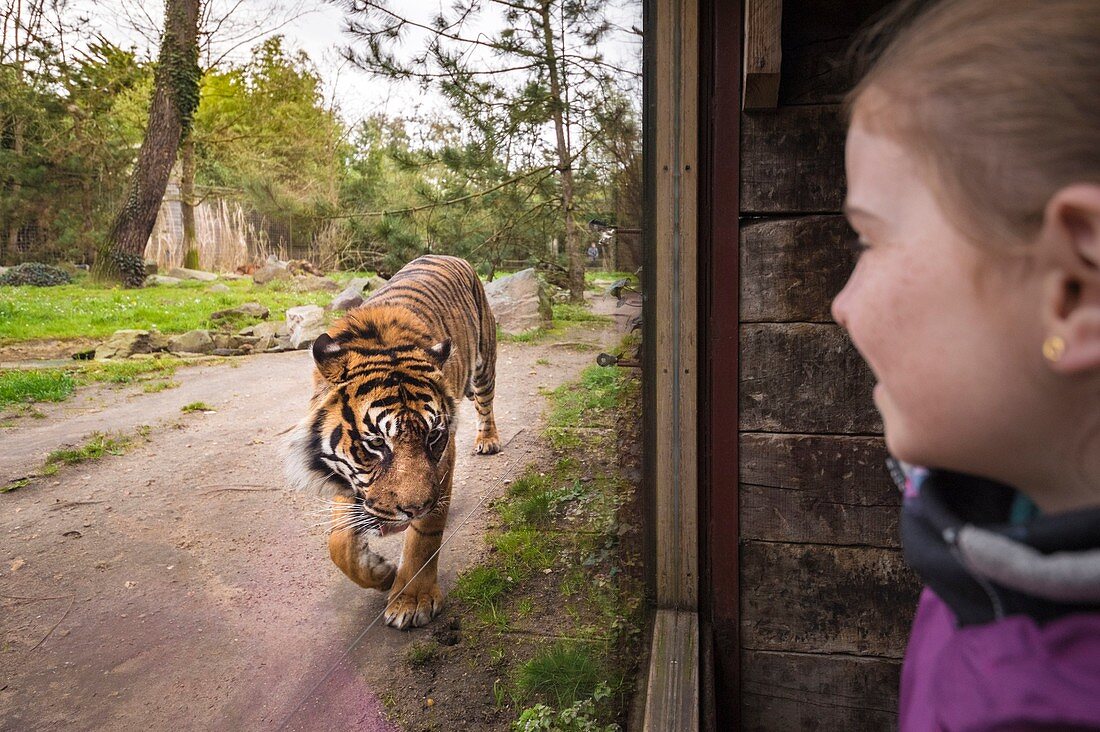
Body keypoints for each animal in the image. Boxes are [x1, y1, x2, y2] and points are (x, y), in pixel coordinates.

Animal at [288, 254, 503, 625]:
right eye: (375, 444)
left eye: (433, 437)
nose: (411, 510)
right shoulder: (349, 473)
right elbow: (339, 542)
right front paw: (382, 573)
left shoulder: (443, 458)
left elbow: (425, 536)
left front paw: (411, 599)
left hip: (483, 364)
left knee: (484, 402)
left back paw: (488, 439)